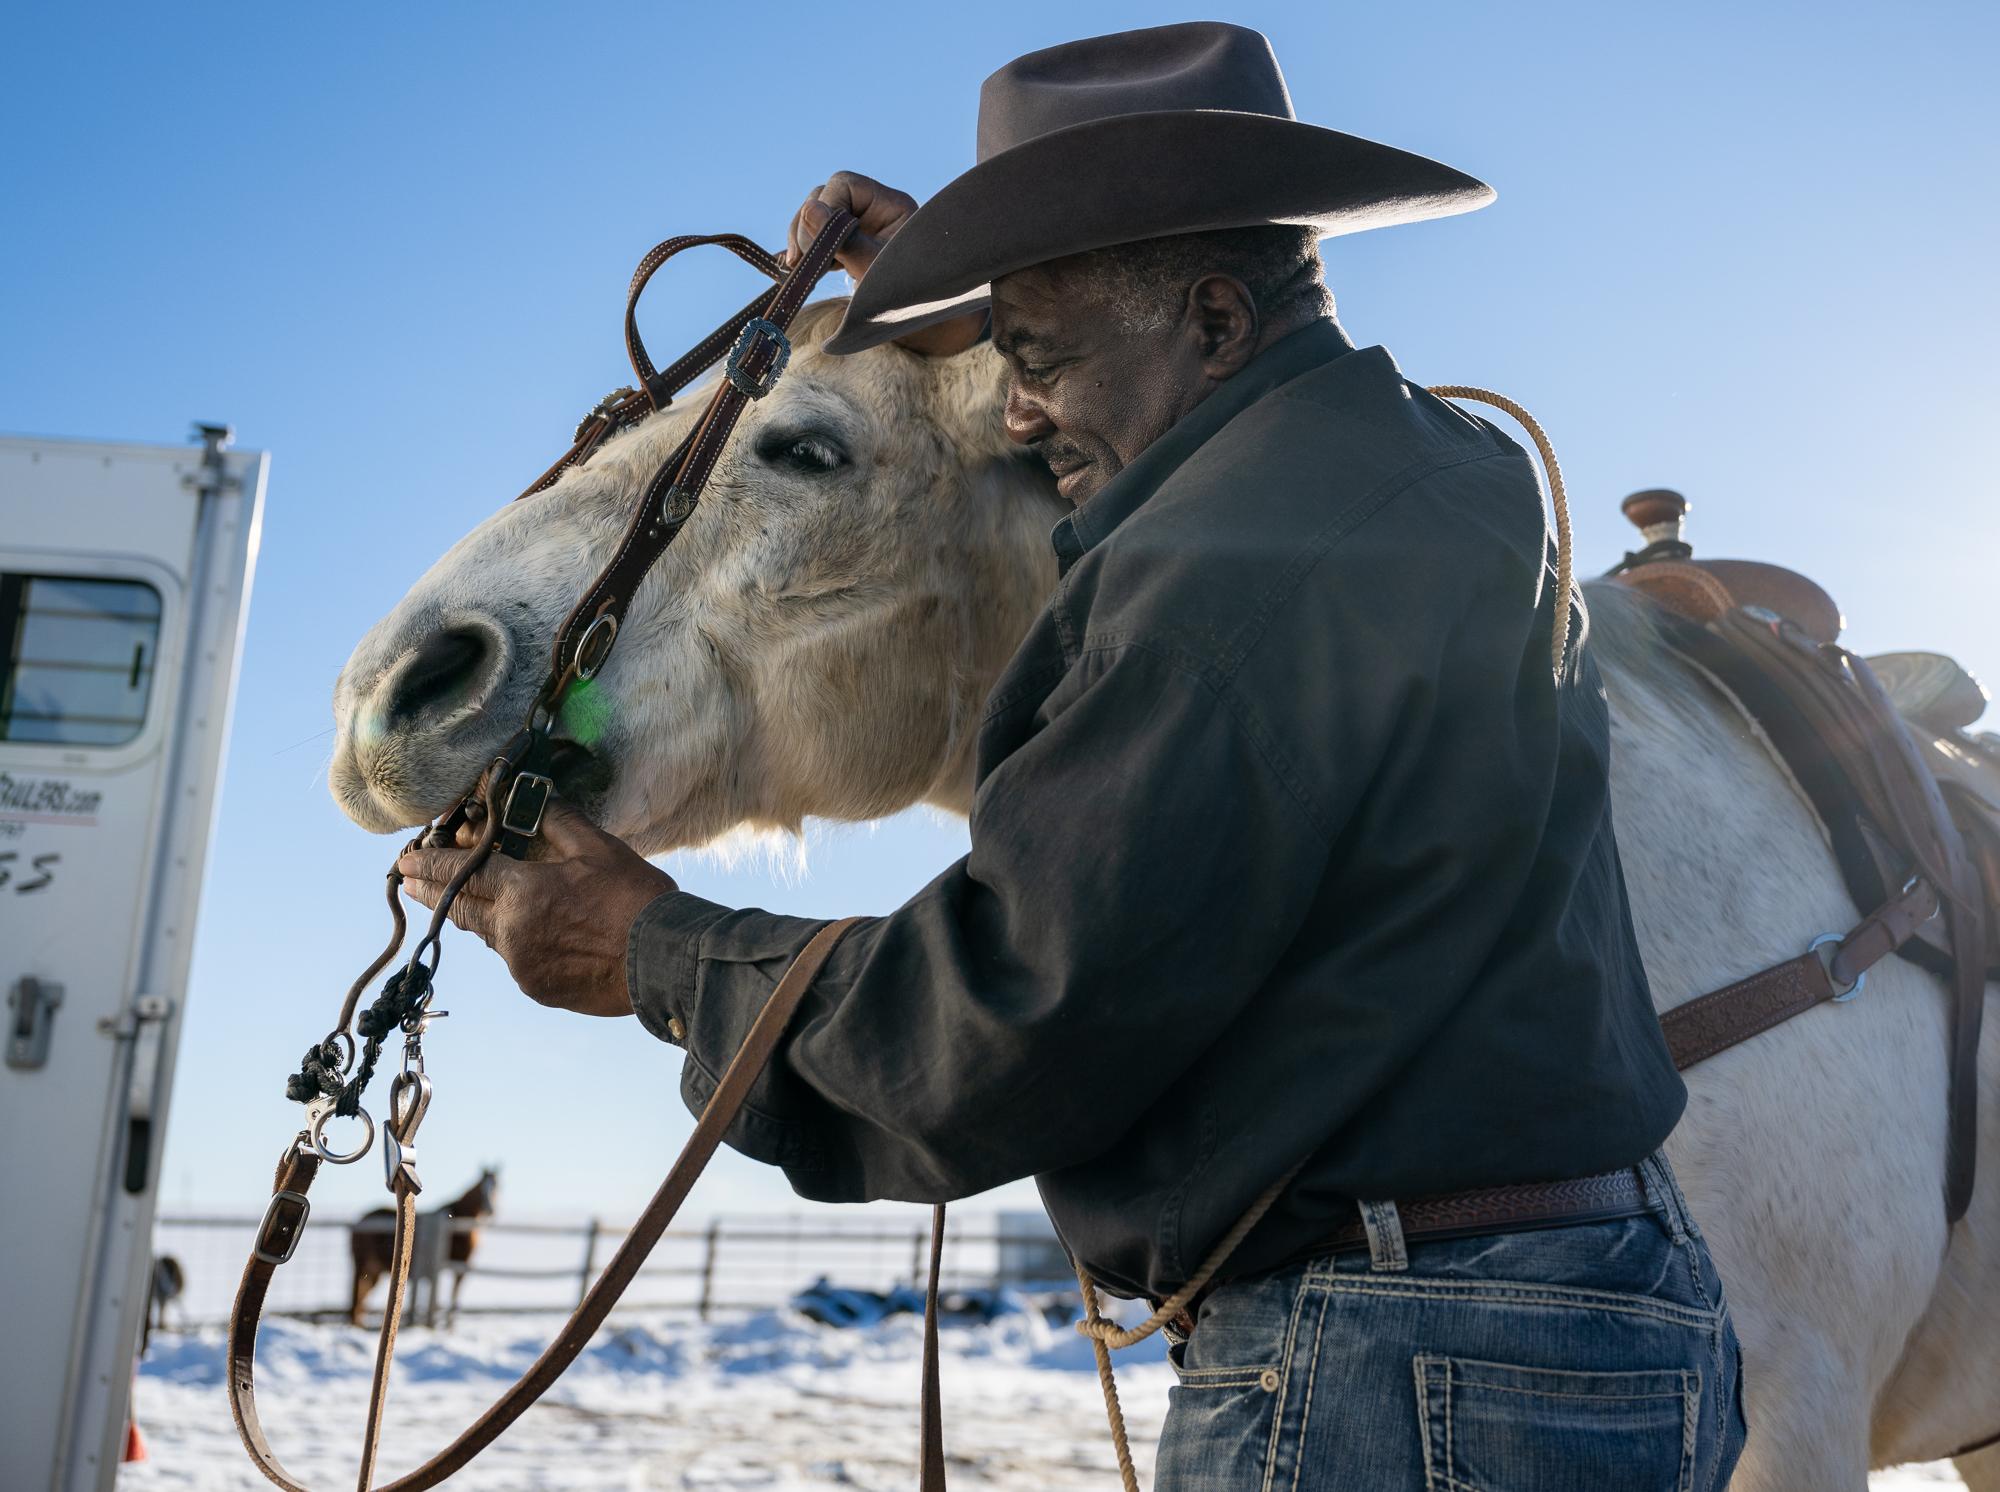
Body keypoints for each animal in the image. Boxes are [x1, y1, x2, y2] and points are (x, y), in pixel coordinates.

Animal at [350, 1160, 498, 1328]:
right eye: (482, 1189)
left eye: (497, 1185)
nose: (490, 1210)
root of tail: (359, 1221)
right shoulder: (457, 1266)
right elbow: (451, 1295)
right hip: (362, 1267)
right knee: (358, 1299)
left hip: (373, 1272)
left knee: (361, 1300)